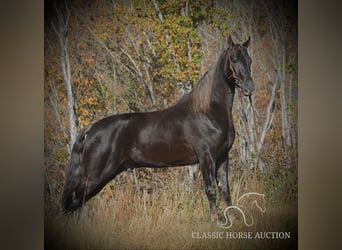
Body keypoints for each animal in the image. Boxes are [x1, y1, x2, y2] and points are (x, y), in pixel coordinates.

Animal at [62, 34, 254, 221]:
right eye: (234, 58)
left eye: (250, 60)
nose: (249, 87)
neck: (208, 112)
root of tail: (92, 128)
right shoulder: (206, 157)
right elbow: (211, 189)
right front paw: (216, 220)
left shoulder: (222, 156)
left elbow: (225, 189)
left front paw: (232, 217)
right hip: (95, 176)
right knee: (74, 201)